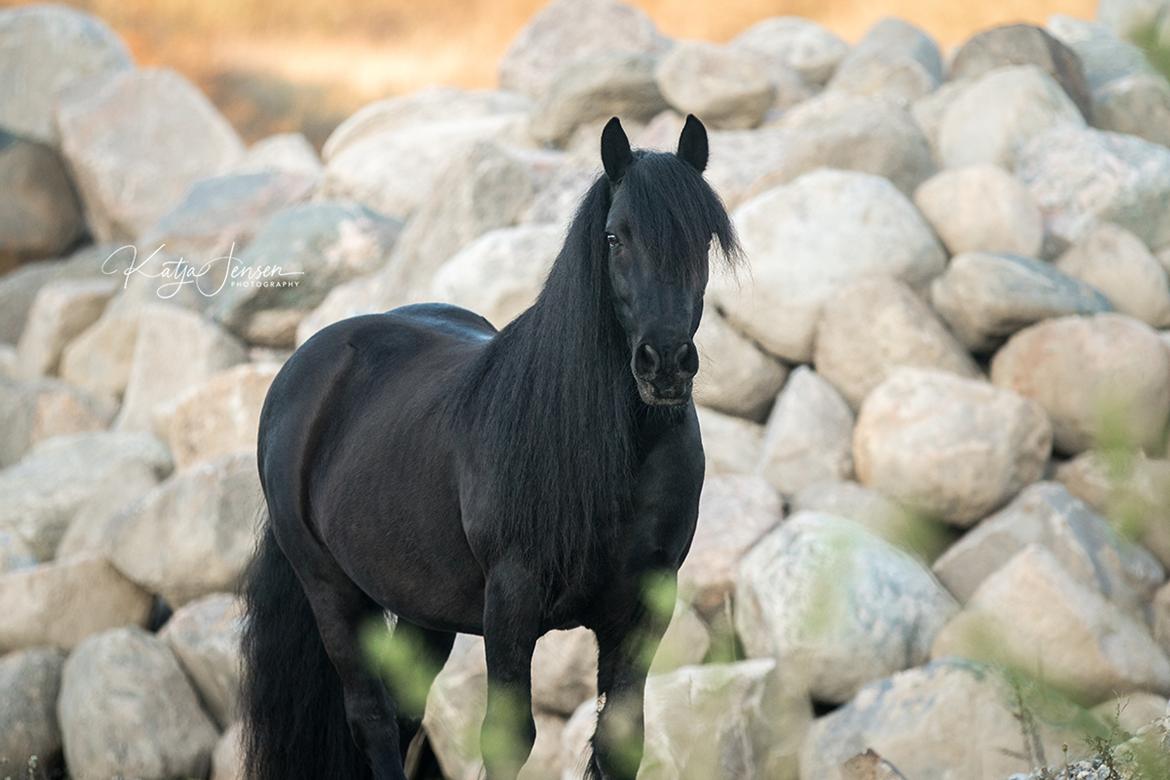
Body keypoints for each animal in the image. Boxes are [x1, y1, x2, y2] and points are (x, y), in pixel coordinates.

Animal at [240, 114, 740, 780]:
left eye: (703, 240)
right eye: (615, 238)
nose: (664, 364)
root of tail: (308, 364)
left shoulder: (643, 608)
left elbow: (620, 742)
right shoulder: (510, 602)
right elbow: (508, 738)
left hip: (421, 610)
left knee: (404, 715)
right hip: (333, 593)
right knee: (372, 719)